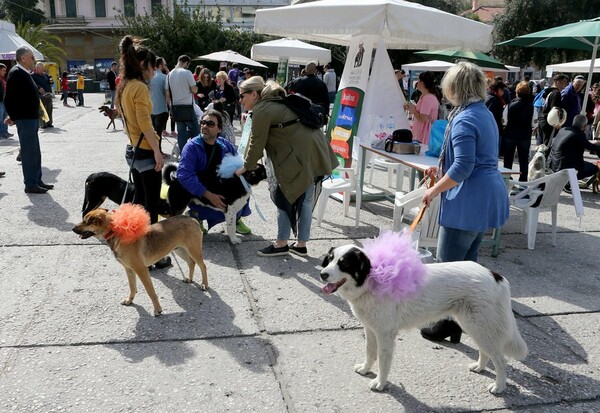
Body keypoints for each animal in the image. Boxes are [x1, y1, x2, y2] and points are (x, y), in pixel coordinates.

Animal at [73, 209, 209, 316]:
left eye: (85, 221)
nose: (73, 229)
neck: (115, 232)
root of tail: (192, 219)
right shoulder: (129, 270)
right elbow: (132, 287)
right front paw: (130, 300)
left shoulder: (142, 270)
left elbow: (150, 291)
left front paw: (157, 309)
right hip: (179, 249)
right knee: (191, 263)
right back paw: (189, 279)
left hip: (193, 250)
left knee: (203, 266)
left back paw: (204, 284)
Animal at [322, 240, 528, 394]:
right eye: (330, 259)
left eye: (344, 263)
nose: (322, 274)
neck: (372, 280)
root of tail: (495, 275)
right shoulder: (371, 329)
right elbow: (370, 352)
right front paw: (366, 370)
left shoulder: (385, 335)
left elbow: (382, 361)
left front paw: (380, 383)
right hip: (475, 326)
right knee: (485, 351)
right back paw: (479, 367)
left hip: (480, 326)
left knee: (500, 360)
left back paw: (499, 387)